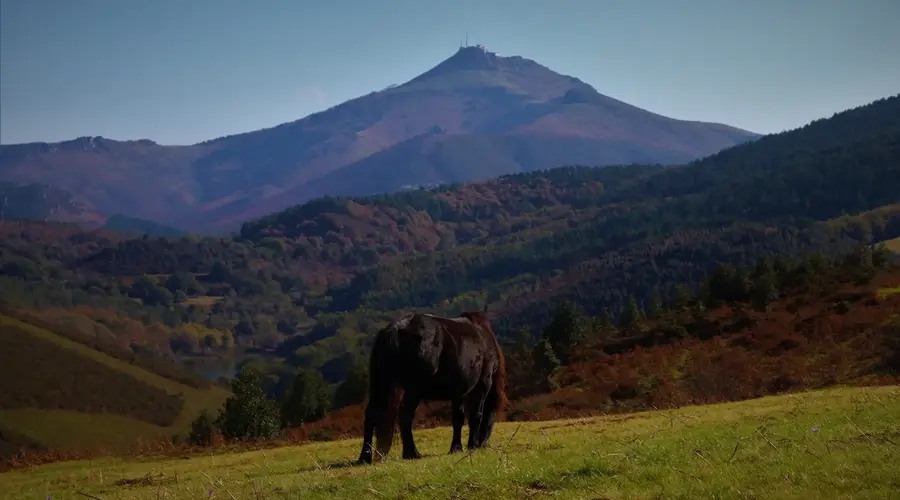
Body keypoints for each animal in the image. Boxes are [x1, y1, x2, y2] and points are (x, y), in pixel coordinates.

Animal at [356, 307, 507, 464]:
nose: (484, 444)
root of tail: (396, 329)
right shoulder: (482, 385)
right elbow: (476, 415)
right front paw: (472, 445)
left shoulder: (459, 392)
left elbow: (458, 418)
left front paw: (456, 448)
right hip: (413, 390)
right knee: (405, 416)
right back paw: (412, 453)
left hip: (381, 384)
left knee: (371, 414)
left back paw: (365, 456)